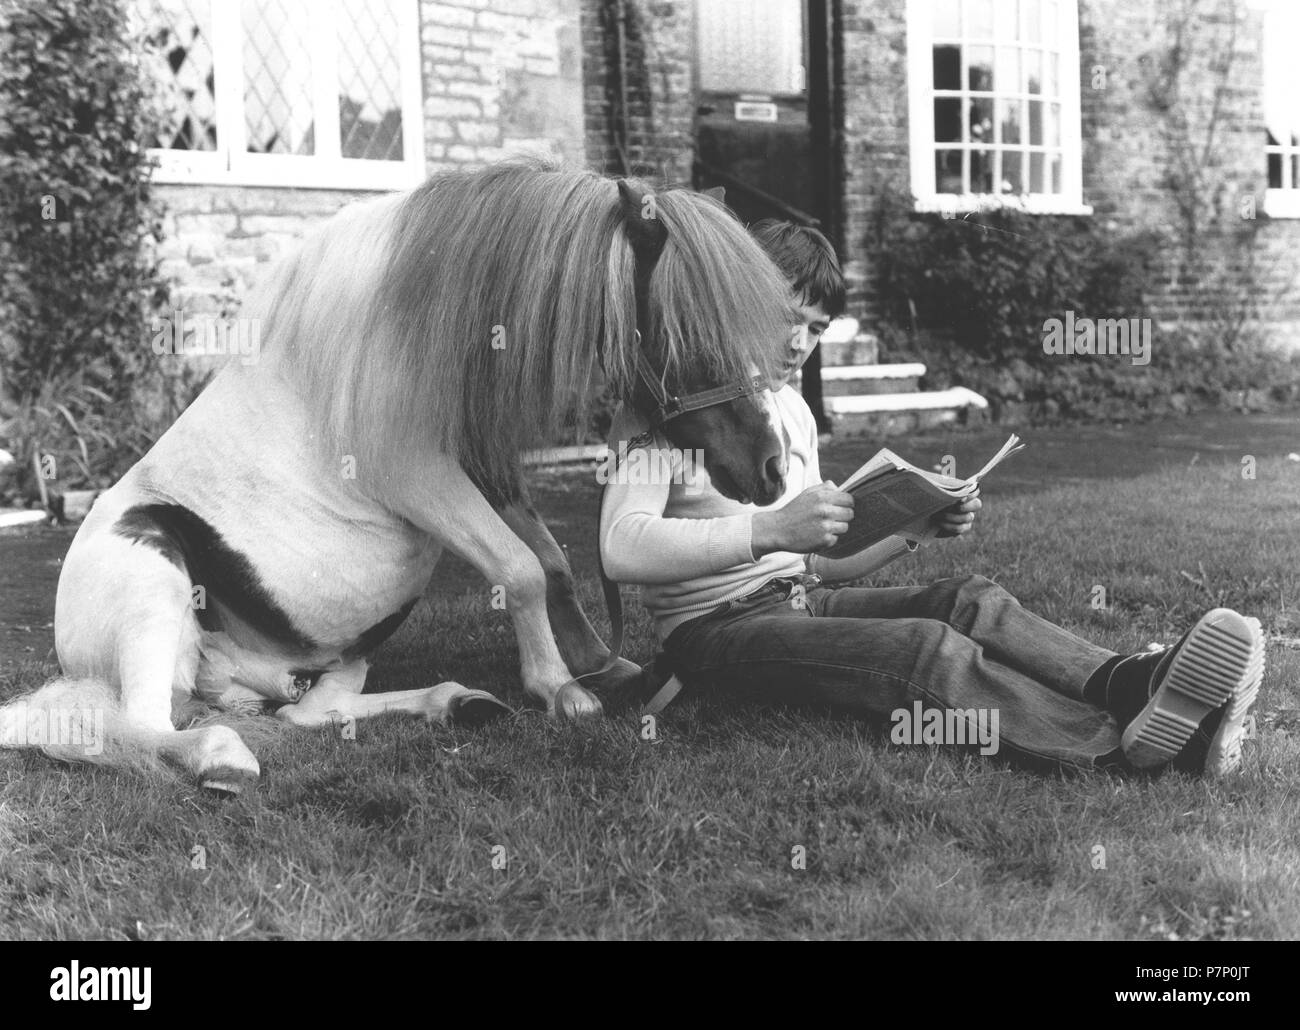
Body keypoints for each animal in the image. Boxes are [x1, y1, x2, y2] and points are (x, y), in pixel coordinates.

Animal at [0, 163, 790, 790]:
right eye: (687, 336)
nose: (772, 469)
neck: (414, 317)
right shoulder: (421, 479)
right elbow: (521, 570)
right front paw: (561, 689)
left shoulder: (481, 468)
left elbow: (555, 563)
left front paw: (599, 663)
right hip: (154, 588)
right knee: (139, 729)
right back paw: (218, 755)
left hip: (343, 652)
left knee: (306, 713)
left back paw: (455, 702)